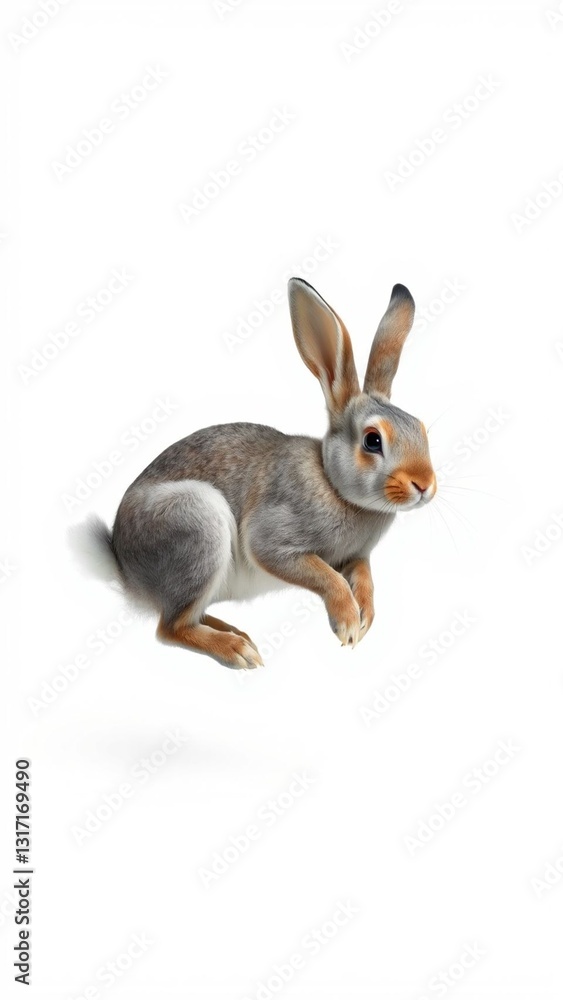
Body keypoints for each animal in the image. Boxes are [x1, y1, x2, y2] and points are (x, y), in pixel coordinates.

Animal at [87, 278, 436, 669]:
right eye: (373, 440)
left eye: (422, 429)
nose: (425, 485)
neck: (333, 483)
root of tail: (126, 571)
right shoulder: (273, 541)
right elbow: (325, 576)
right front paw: (347, 623)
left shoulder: (357, 557)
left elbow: (363, 577)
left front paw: (365, 618)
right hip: (198, 524)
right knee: (170, 627)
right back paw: (238, 649)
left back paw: (235, 632)